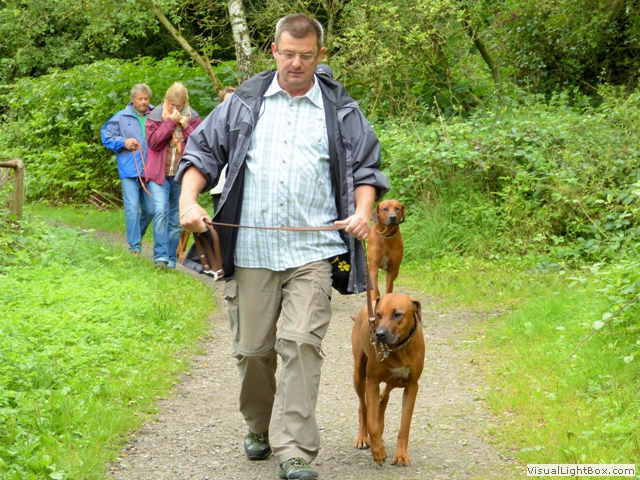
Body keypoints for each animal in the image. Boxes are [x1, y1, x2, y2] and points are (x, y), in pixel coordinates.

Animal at [351, 292, 425, 466]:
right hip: (358, 374)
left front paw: (401, 455)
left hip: (394, 381)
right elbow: (371, 422)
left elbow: (405, 425)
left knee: (383, 397)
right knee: (363, 407)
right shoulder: (372, 382)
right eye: (378, 314)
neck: (399, 348)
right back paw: (363, 437)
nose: (379, 334)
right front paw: (378, 451)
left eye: (397, 314)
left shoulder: (412, 386)